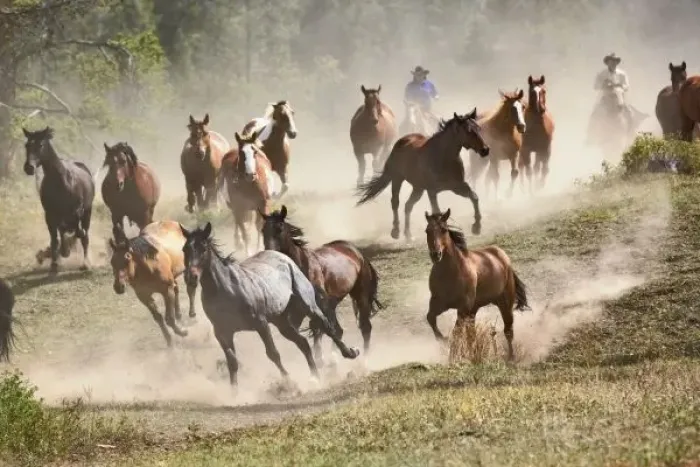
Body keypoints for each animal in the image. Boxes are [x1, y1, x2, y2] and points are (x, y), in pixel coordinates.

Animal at [23, 126, 95, 274]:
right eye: (27, 145)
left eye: (41, 145)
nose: (29, 168)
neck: (61, 181)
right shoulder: (50, 215)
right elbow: (55, 239)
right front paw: (55, 263)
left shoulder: (77, 211)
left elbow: (79, 232)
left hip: (87, 212)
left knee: (84, 236)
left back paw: (85, 262)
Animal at [180, 222, 359, 387]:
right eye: (184, 249)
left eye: (203, 248)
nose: (191, 277)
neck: (226, 289)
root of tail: (285, 258)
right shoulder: (222, 332)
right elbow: (232, 362)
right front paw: (234, 393)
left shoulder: (261, 324)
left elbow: (273, 353)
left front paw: (289, 383)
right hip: (281, 321)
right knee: (302, 342)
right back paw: (314, 377)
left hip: (308, 306)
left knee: (327, 326)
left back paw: (349, 353)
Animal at [261, 205, 384, 356]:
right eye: (263, 230)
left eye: (279, 228)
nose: (269, 253)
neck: (301, 267)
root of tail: (356, 251)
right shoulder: (297, 312)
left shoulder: (319, 305)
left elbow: (320, 330)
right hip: (333, 303)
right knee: (339, 330)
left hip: (360, 295)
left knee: (365, 327)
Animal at [356, 110, 490, 241]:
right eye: (468, 131)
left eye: (478, 128)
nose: (485, 150)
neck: (443, 157)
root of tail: (402, 141)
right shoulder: (432, 191)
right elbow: (437, 211)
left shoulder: (457, 186)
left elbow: (474, 197)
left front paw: (477, 227)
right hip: (397, 179)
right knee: (395, 202)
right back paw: (396, 232)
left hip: (418, 188)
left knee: (408, 206)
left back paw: (408, 235)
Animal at [423, 209, 529, 362]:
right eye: (427, 231)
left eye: (443, 230)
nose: (436, 254)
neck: (449, 272)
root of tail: (503, 257)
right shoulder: (439, 302)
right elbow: (431, 318)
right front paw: (443, 340)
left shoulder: (463, 307)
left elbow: (457, 332)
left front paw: (452, 356)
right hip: (474, 309)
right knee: (472, 334)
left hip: (504, 303)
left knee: (508, 330)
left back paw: (511, 358)